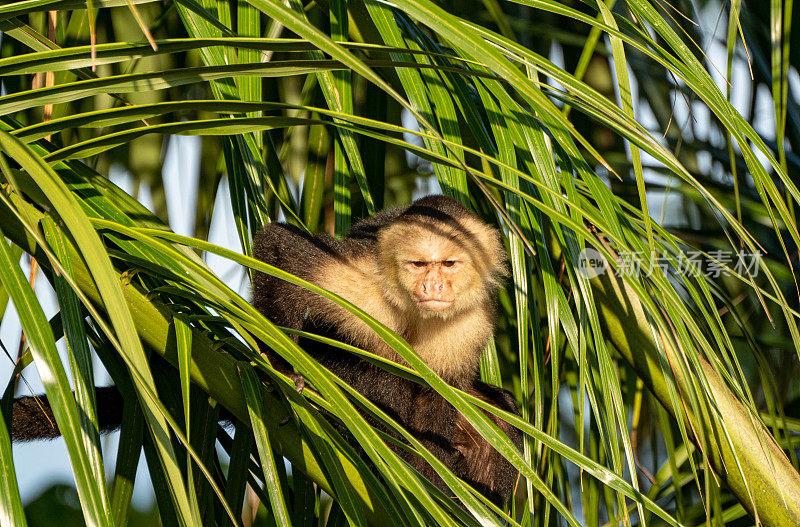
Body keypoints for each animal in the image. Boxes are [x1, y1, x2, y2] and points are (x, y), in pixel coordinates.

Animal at [14, 197, 524, 508]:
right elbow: (281, 248)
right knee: (374, 373)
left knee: (496, 412)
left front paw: (435, 474)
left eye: (449, 264)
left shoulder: (471, 325)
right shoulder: (364, 277)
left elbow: (444, 396)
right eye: (419, 264)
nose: (433, 286)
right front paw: (278, 368)